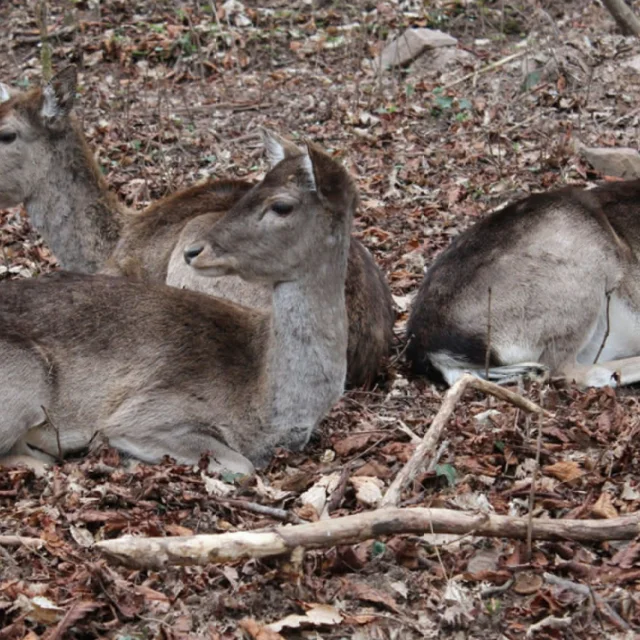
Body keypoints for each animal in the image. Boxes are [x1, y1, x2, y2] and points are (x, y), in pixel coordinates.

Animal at [0, 136, 352, 476]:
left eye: (281, 205)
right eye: (252, 189)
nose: (194, 250)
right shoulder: (148, 410)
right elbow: (243, 465)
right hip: (26, 378)